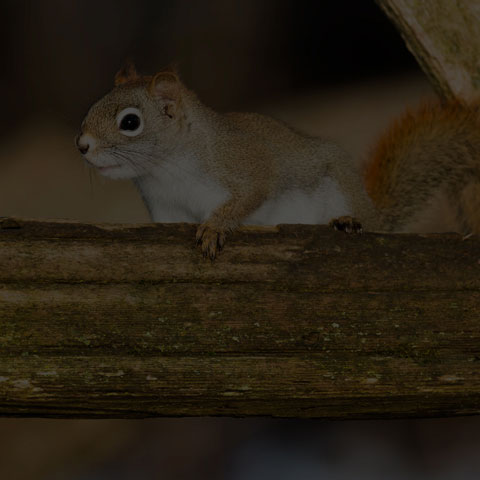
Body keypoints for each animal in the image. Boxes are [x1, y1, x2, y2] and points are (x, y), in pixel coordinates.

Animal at [75, 64, 480, 258]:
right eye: (94, 105)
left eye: (130, 123)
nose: (82, 145)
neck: (165, 171)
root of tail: (376, 214)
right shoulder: (165, 209)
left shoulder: (245, 163)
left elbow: (253, 192)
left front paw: (215, 227)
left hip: (339, 187)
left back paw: (349, 221)